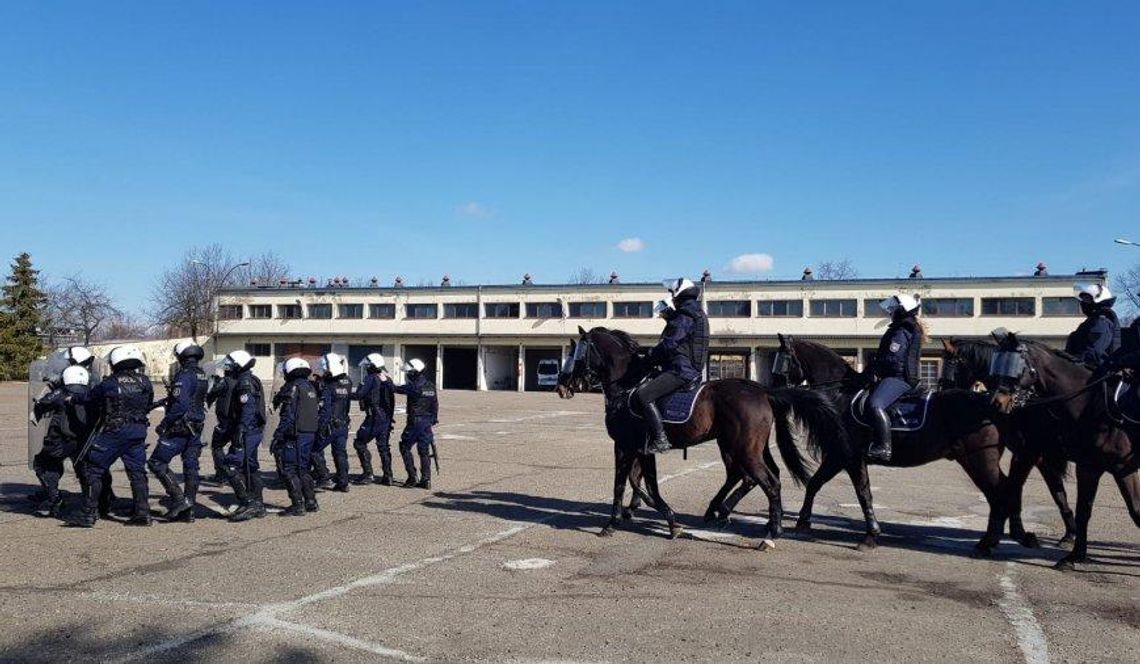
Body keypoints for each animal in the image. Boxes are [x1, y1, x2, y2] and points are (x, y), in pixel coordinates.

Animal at [556, 326, 852, 549]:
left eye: (577, 352)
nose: (562, 385)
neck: (627, 386)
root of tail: (762, 390)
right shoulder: (642, 449)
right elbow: (643, 481)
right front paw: (660, 517)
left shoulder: (624, 446)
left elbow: (622, 483)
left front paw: (613, 522)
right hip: (745, 447)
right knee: (756, 476)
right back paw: (730, 514)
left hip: (741, 449)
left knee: (766, 482)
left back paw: (769, 533)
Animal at [939, 339, 1071, 549]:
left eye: (953, 365)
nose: (944, 396)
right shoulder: (1036, 456)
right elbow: (1056, 493)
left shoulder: (1027, 454)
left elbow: (1016, 488)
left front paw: (1018, 532)